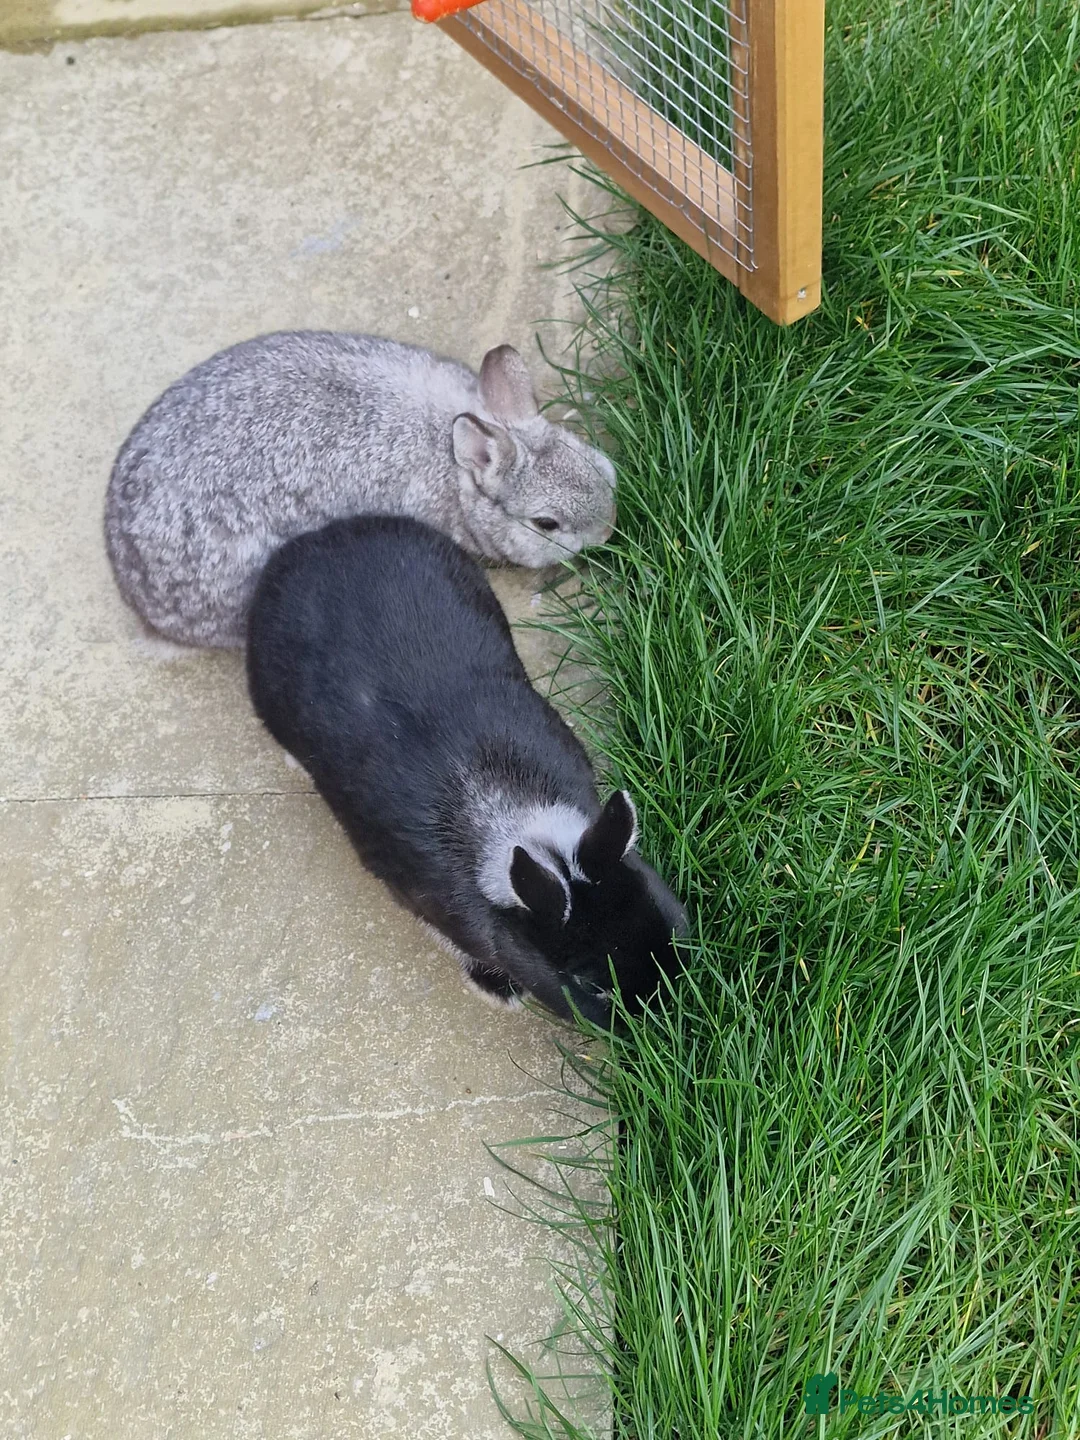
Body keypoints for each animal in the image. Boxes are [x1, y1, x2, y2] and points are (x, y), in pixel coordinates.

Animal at [245, 514, 686, 1026]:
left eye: (661, 910)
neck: (509, 822)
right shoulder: (412, 892)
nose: (663, 1007)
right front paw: (498, 989)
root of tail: (321, 538)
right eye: (589, 986)